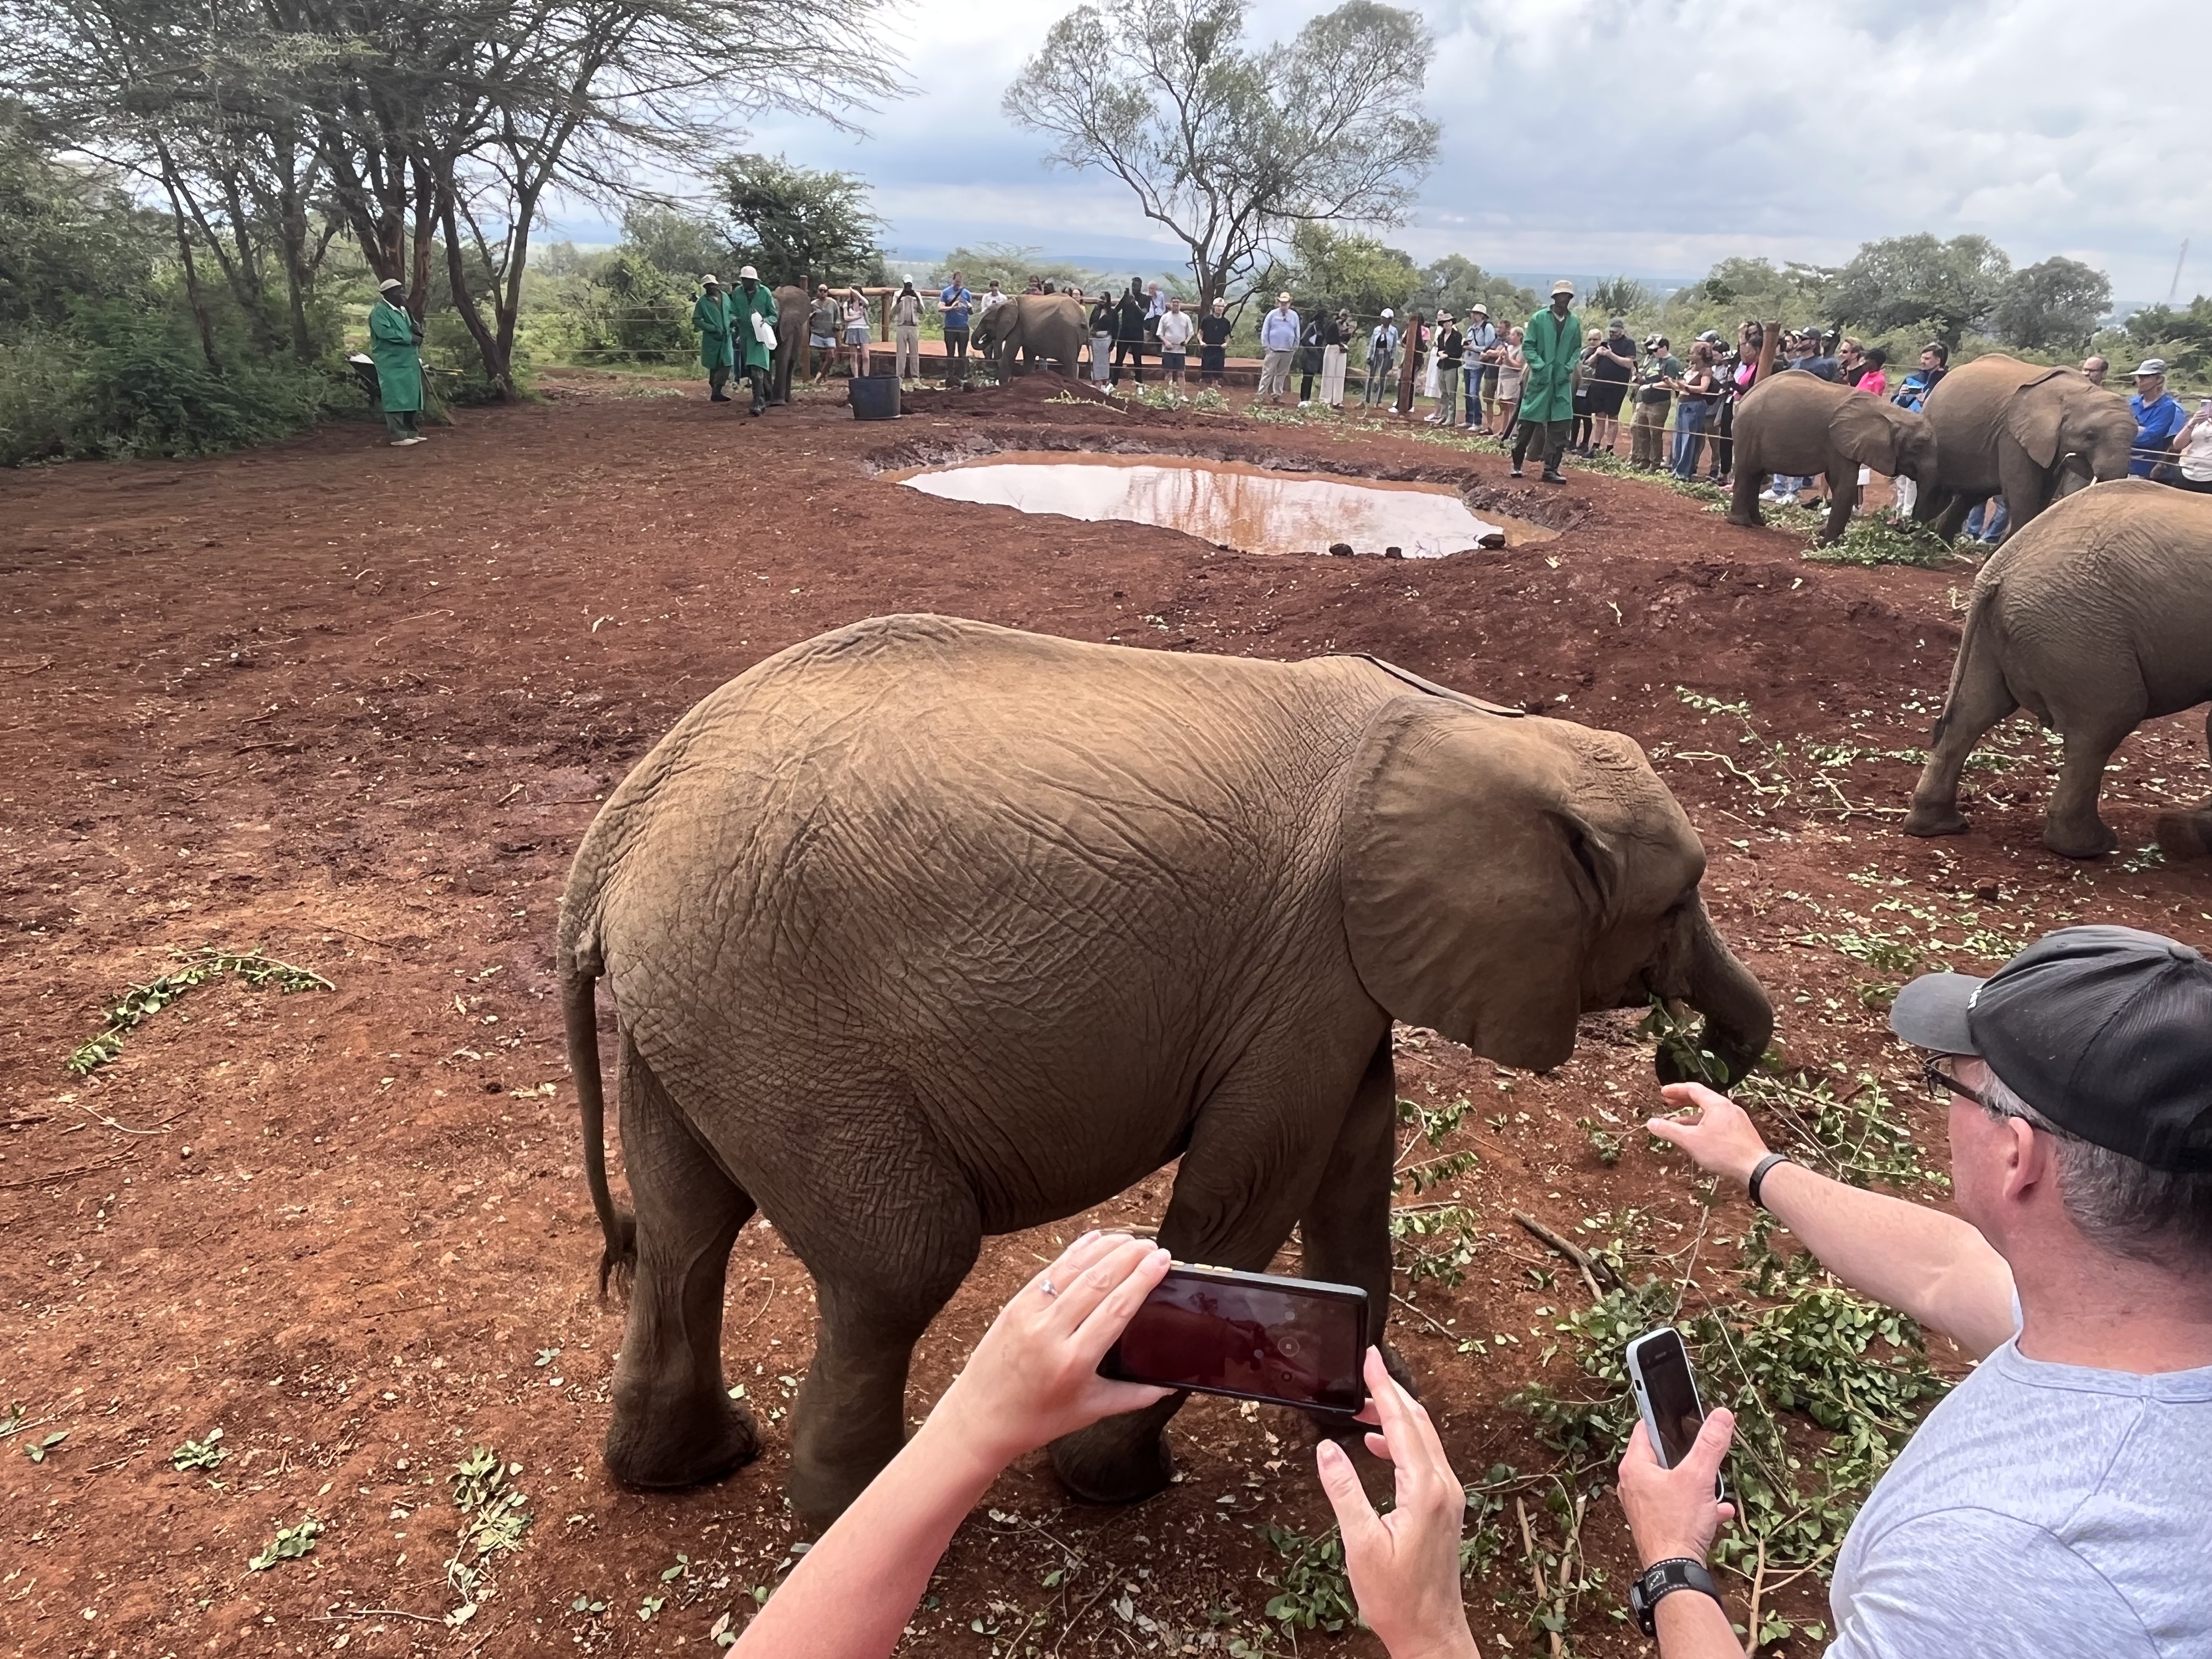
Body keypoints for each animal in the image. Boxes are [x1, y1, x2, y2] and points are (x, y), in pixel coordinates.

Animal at [557, 614, 1775, 1526]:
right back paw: (856, 1515)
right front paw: (1113, 1486)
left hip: (702, 1013)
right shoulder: (1304, 969)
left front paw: (1376, 1415)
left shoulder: (1336, 983)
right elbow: (1249, 1199)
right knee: (900, 1260)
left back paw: (689, 1465)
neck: (1465, 720)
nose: (1686, 1057)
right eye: (1676, 902)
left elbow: (1351, 1175)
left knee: (685, 1225)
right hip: (770, 1007)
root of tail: (619, 831)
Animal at [969, 292, 1086, 378]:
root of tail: (1081, 315)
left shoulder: (1017, 327)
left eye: (987, 322)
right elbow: (1028, 364)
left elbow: (1006, 360)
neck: (1009, 302)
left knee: (1071, 364)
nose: (988, 339)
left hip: (1068, 334)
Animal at [1727, 372, 1939, 543]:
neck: (1889, 410)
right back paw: (1742, 523)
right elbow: (1845, 484)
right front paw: (1828, 544)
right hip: (1748, 427)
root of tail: (1746, 397)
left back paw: (1758, 523)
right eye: (1919, 445)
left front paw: (1825, 537)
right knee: (1747, 472)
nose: (1902, 527)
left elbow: (1840, 485)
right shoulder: (1838, 443)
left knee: (1755, 475)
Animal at [1904, 479, 2212, 859]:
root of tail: (1999, 567)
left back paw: (1938, 826)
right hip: (2080, 630)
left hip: (2007, 631)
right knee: (2105, 722)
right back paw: (2091, 847)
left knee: (1971, 713)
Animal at [1912, 354, 2135, 545]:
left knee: (1969, 497)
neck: (2079, 391)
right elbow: (2024, 495)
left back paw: (1940, 545)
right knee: (1936, 490)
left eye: (2135, 439)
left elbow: (2043, 497)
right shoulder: (2012, 434)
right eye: (2090, 436)